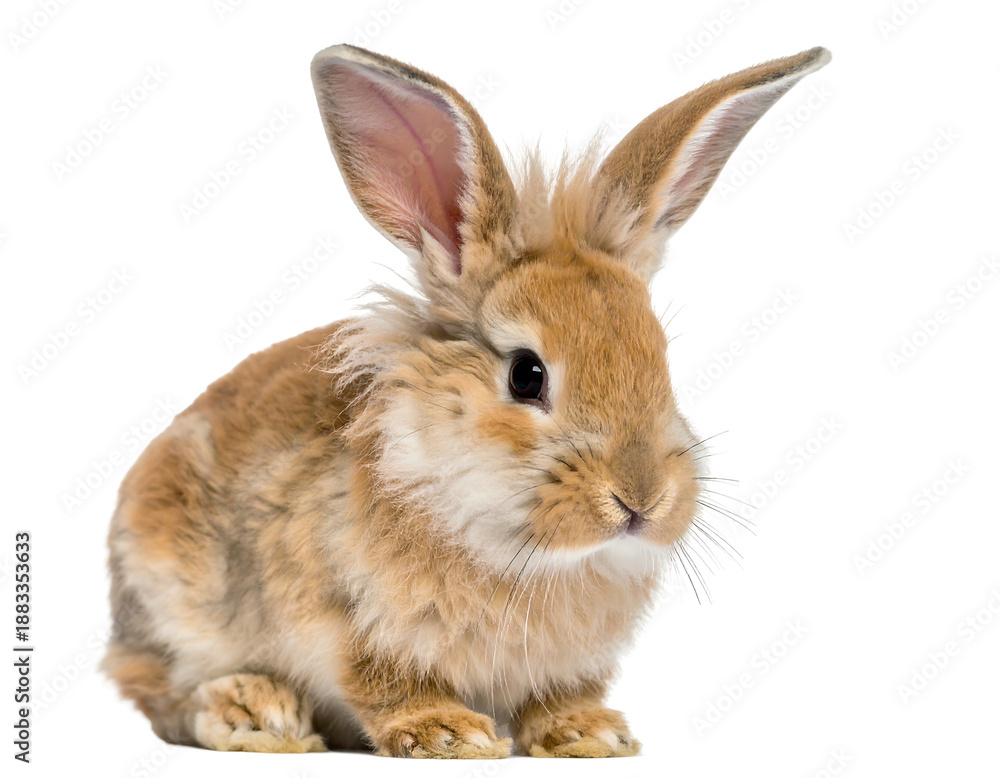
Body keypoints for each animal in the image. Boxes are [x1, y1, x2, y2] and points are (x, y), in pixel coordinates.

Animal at [102, 43, 830, 758]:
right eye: (527, 375)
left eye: (661, 362)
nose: (641, 499)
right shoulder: (345, 620)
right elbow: (384, 682)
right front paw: (448, 733)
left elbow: (559, 697)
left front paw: (589, 734)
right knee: (161, 691)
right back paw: (255, 713)